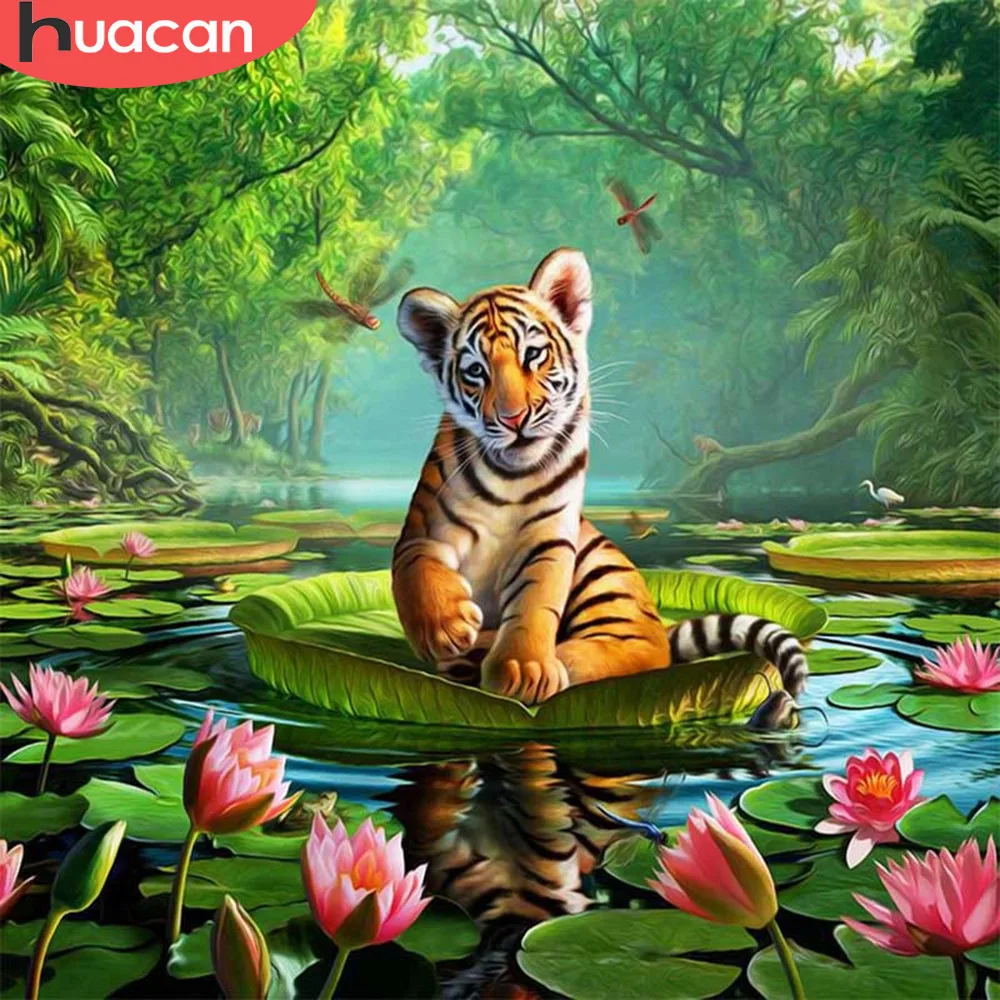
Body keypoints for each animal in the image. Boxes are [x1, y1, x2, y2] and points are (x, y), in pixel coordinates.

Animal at [393, 247, 808, 706]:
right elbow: (416, 570)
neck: (511, 476)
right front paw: (445, 629)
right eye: (476, 371)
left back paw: (544, 660)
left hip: (604, 575)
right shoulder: (423, 530)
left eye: (533, 355)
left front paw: (523, 669)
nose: (513, 418)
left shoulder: (549, 540)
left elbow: (536, 601)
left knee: (640, 652)